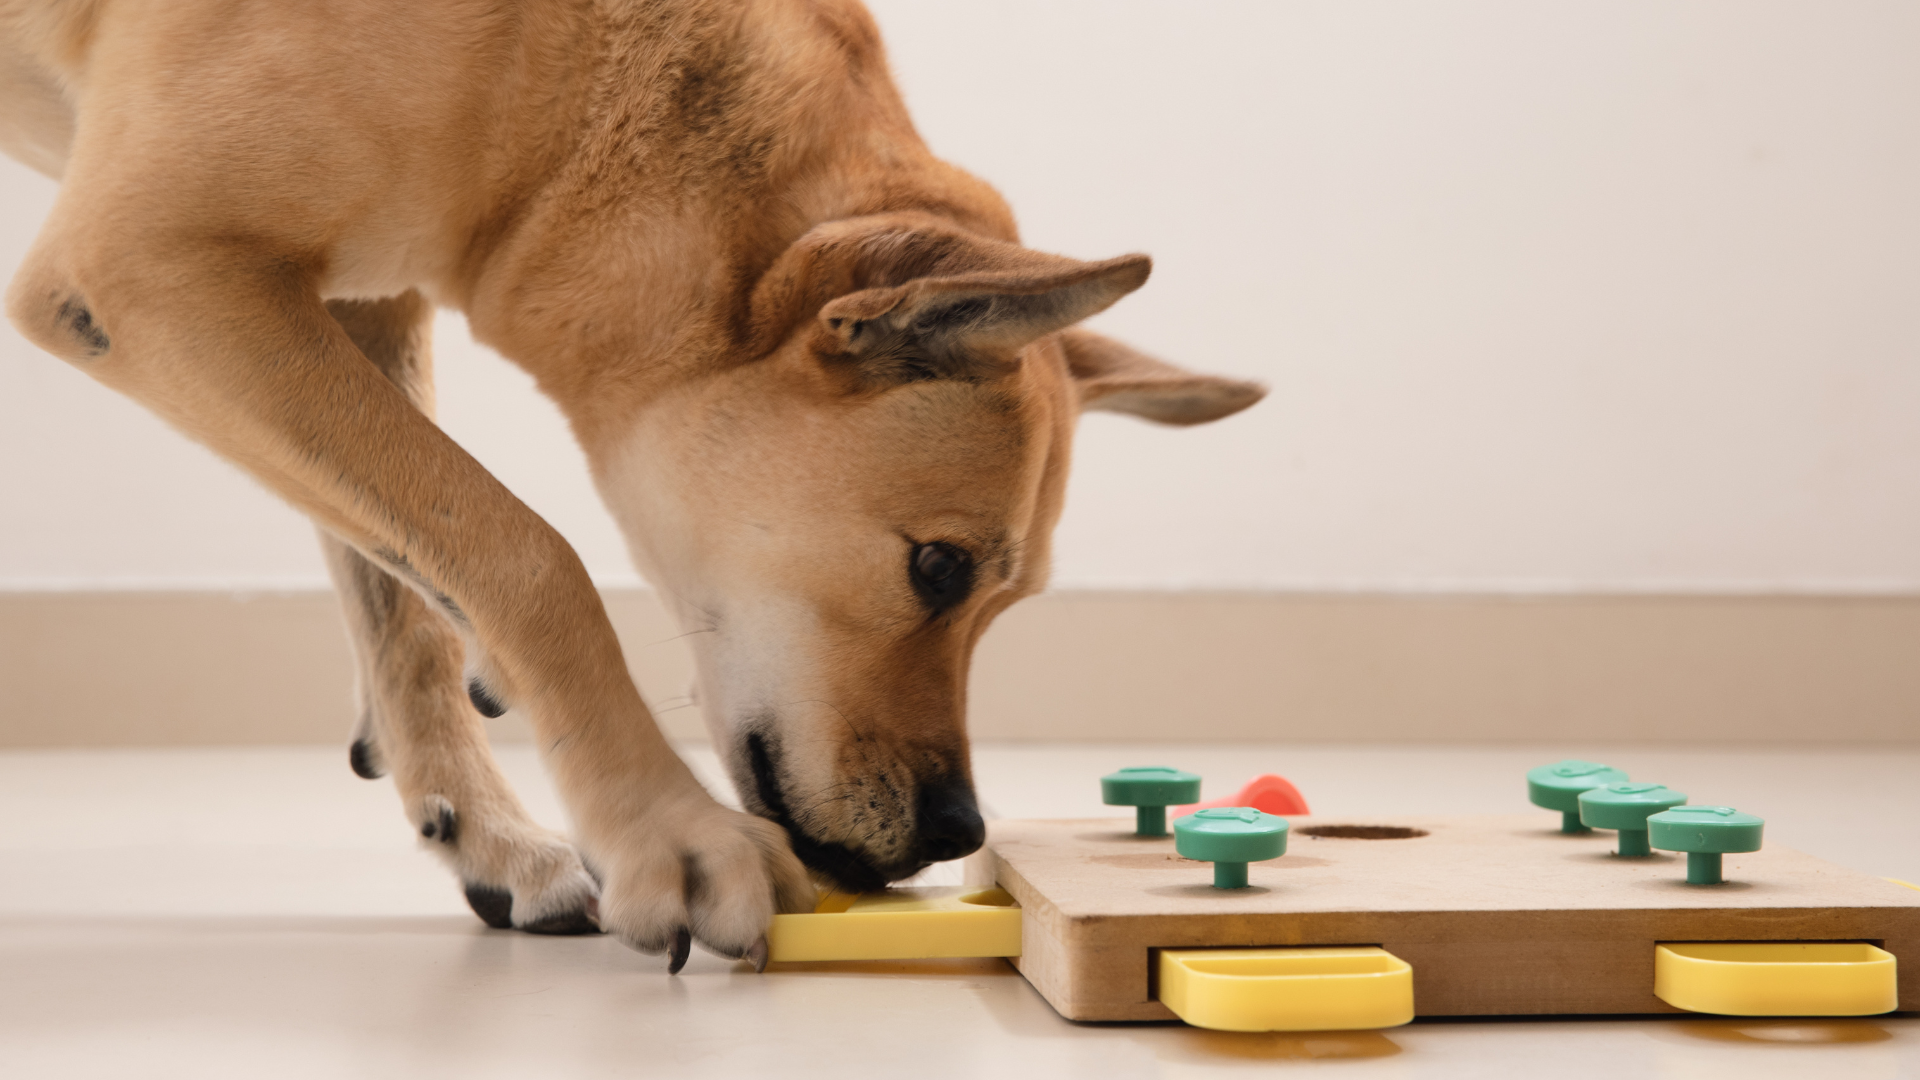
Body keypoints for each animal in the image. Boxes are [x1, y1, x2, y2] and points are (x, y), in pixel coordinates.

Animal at [0, 0, 1267, 968]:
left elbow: (404, 599)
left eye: (1004, 599)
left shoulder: (345, 299)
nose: (960, 830)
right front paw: (668, 831)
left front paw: (483, 833)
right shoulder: (153, 269)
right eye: (940, 568)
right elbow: (523, 551)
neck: (557, 82)